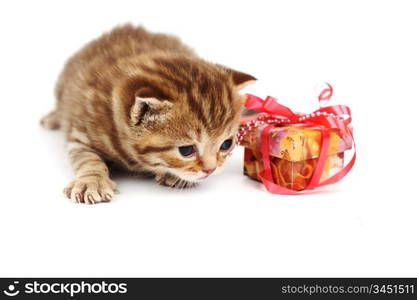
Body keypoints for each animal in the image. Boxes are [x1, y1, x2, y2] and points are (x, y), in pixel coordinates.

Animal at [40, 25, 255, 204]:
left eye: (226, 144)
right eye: (186, 150)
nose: (211, 170)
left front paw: (173, 176)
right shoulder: (81, 133)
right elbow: (87, 158)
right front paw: (92, 181)